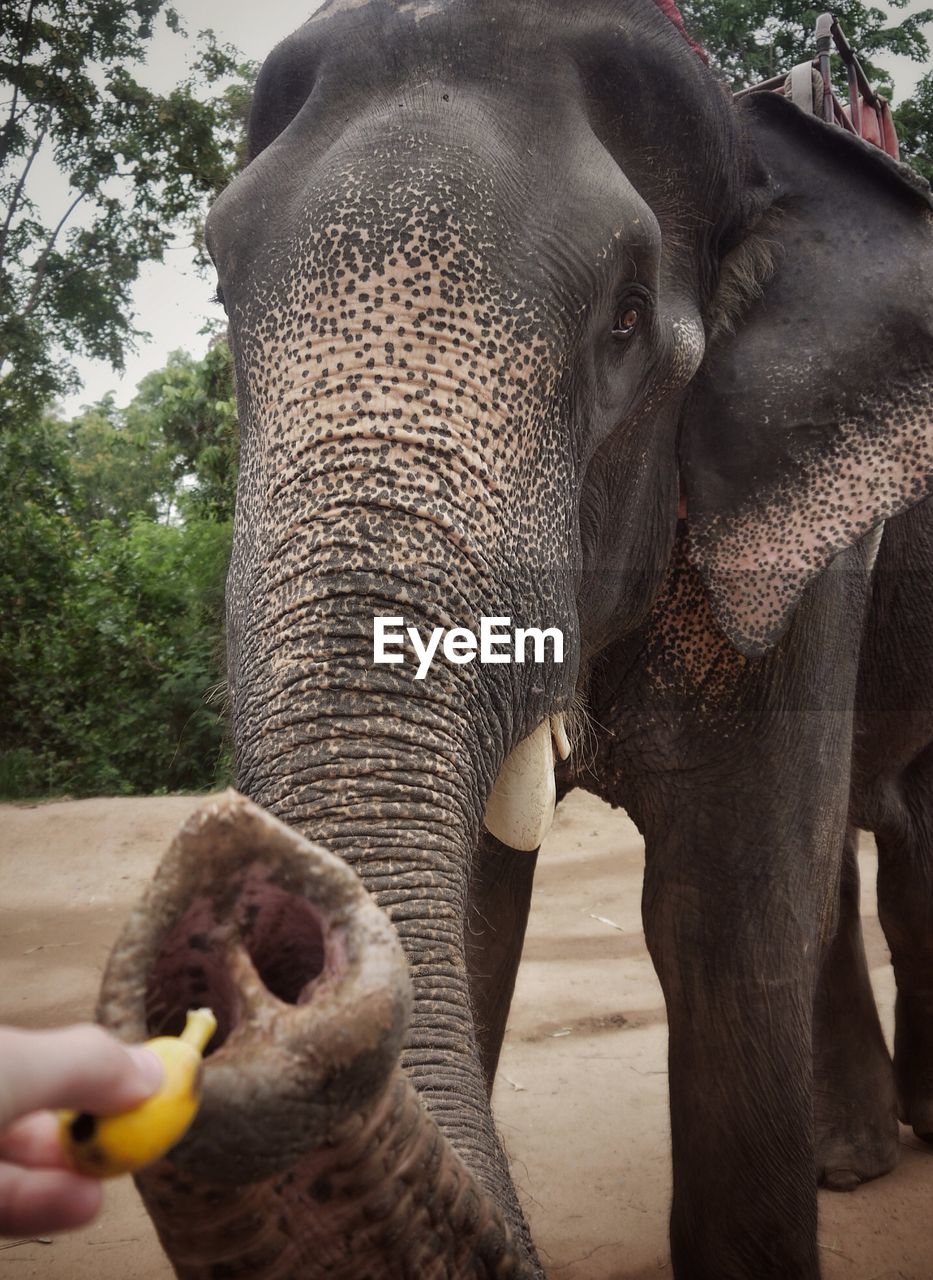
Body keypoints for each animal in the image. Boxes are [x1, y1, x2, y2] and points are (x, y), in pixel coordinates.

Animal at [92, 2, 931, 1280]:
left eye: (627, 317)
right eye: (224, 286)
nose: (234, 923)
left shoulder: (805, 533)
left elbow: (729, 912)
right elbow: (486, 917)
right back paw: (853, 1154)